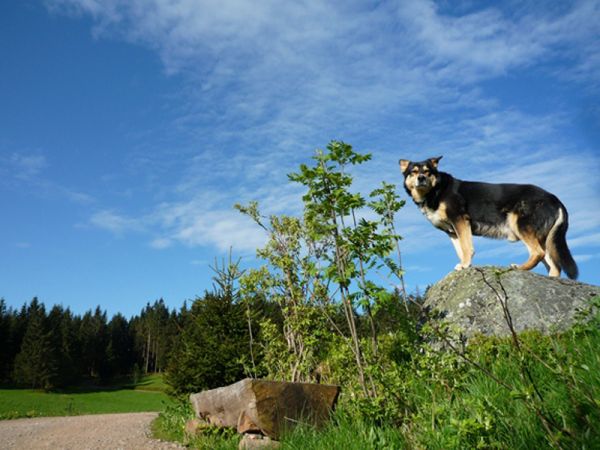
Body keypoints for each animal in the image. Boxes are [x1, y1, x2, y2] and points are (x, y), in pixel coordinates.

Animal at [400, 156, 580, 280]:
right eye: (414, 172)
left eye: (427, 171)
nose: (421, 178)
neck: (435, 190)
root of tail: (555, 199)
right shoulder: (452, 232)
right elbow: (460, 250)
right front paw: (464, 265)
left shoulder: (460, 220)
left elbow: (467, 248)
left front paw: (465, 265)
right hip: (545, 237)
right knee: (554, 265)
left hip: (519, 224)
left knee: (538, 253)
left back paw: (519, 268)